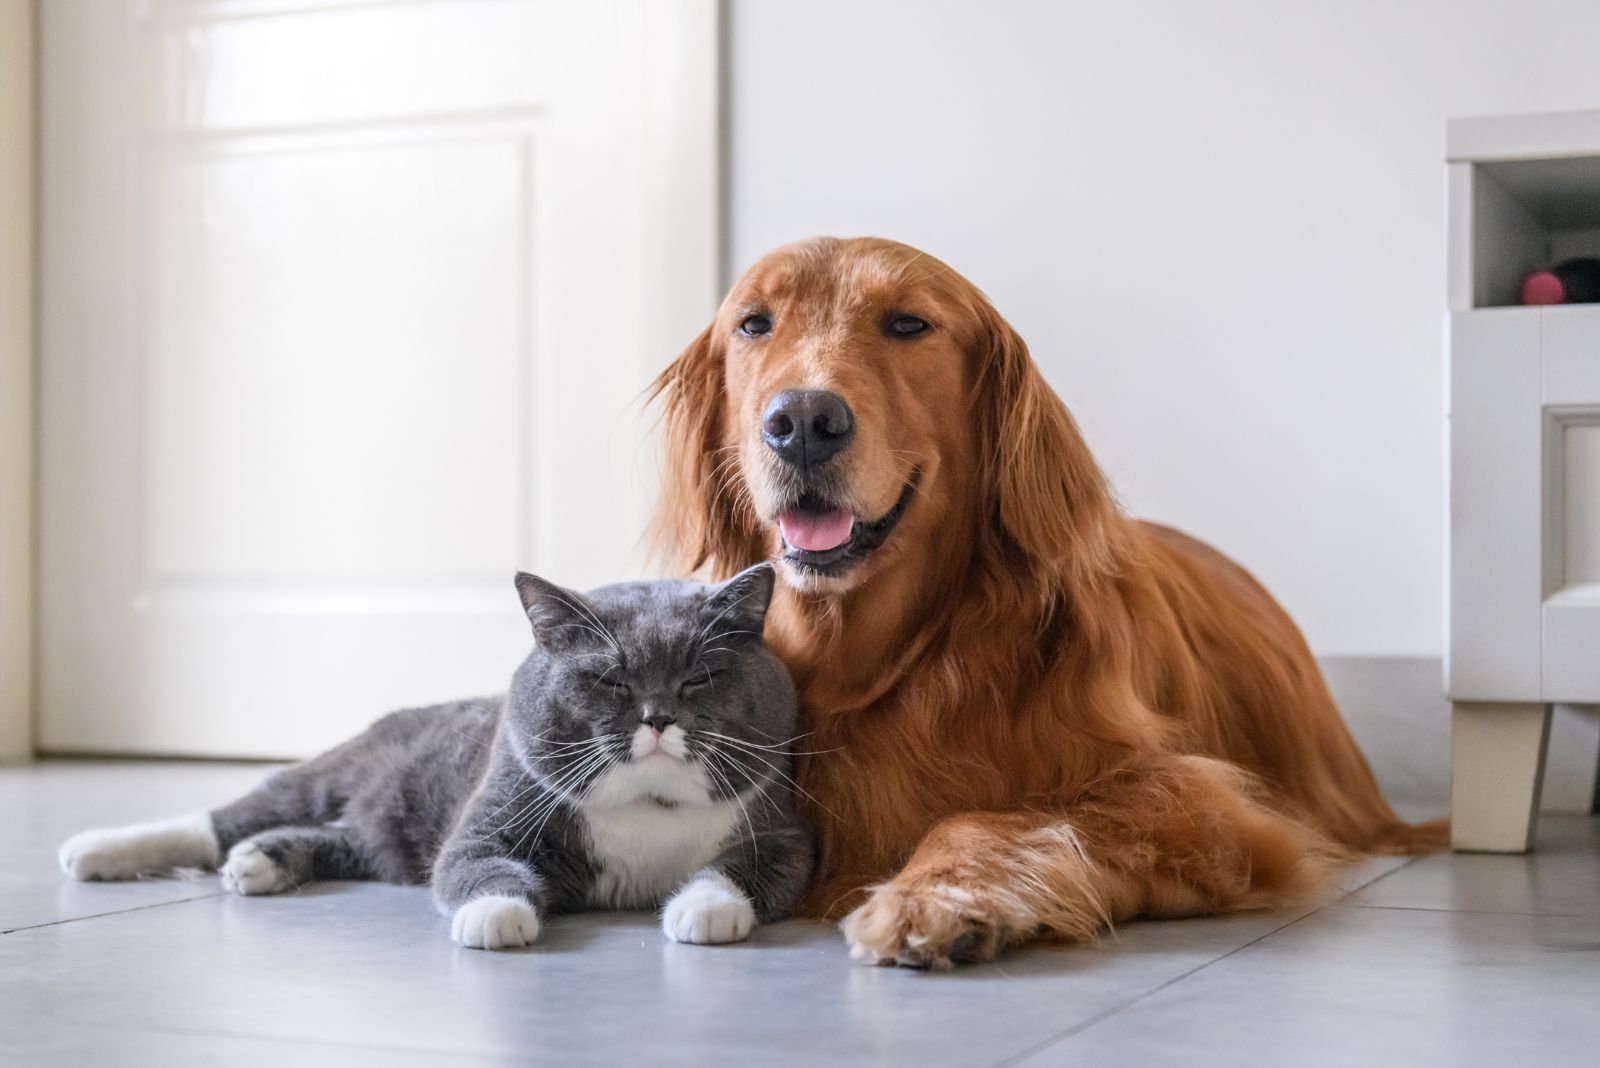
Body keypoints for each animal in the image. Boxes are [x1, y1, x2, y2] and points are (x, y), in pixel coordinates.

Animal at [60, 565, 812, 952]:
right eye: (610, 680)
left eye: (699, 678)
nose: (657, 718)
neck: (650, 803)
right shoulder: (489, 822)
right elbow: (475, 866)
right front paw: (496, 917)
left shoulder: (784, 836)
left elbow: (746, 872)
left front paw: (703, 909)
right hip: (333, 773)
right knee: (223, 817)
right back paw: (95, 851)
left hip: (383, 842)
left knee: (340, 841)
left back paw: (261, 862)